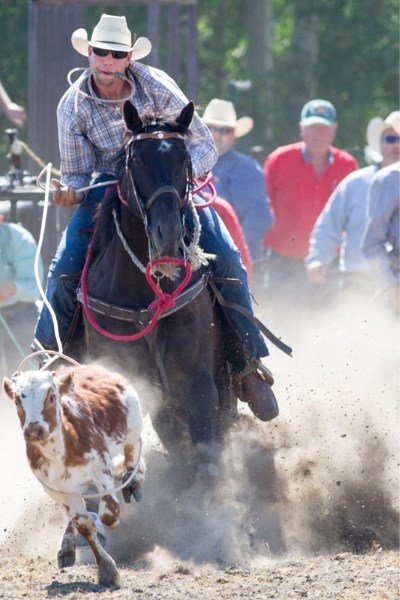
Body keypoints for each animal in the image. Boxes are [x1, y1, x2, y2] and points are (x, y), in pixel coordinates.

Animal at [2, 364, 146, 588]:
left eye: (51, 397)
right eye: (18, 400)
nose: (34, 430)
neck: (60, 451)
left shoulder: (100, 466)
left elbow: (109, 513)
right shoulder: (56, 490)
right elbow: (83, 524)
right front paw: (107, 570)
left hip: (133, 425)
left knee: (134, 448)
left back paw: (134, 477)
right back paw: (67, 547)